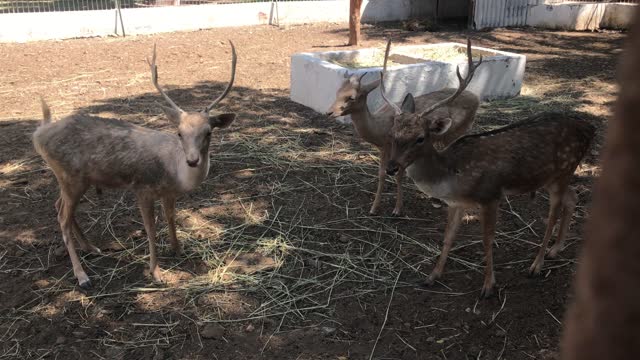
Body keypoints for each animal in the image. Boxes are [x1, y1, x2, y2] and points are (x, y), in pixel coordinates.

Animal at [33, 40, 238, 288]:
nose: (192, 160)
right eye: (179, 132)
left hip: (72, 179)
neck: (175, 172)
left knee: (58, 206)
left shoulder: (169, 193)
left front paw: (177, 249)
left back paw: (91, 247)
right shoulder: (143, 189)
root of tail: (39, 134)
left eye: (208, 132)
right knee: (62, 217)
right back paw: (82, 276)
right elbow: (150, 229)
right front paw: (157, 273)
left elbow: (171, 218)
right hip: (70, 177)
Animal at [324, 42, 480, 217]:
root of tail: (476, 97)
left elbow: (398, 176)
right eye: (337, 92)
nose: (329, 112)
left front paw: (397, 209)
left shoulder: (401, 152)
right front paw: (374, 208)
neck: (379, 130)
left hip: (461, 129)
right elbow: (381, 174)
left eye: (351, 97)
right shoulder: (384, 149)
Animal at [380, 38, 596, 298]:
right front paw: (432, 277)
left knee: (552, 215)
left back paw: (536, 265)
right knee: (573, 197)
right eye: (393, 134)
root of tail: (590, 128)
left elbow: (487, 239)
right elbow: (448, 237)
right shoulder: (456, 203)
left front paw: (488, 286)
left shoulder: (490, 196)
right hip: (552, 176)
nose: (392, 167)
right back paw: (556, 249)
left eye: (420, 138)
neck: (452, 174)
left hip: (565, 168)